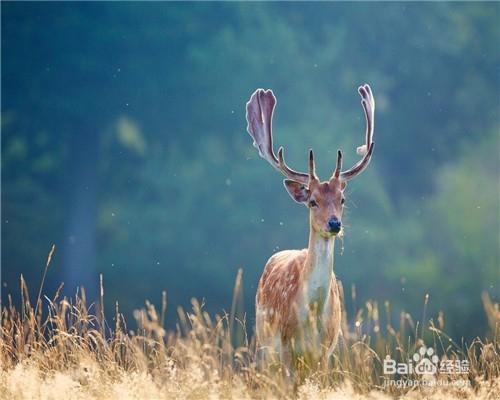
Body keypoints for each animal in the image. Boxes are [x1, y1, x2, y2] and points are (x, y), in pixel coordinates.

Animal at [246, 83, 376, 374]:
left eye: (342, 199)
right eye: (313, 201)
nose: (334, 223)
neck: (312, 314)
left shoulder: (325, 351)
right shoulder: (284, 346)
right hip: (263, 344)